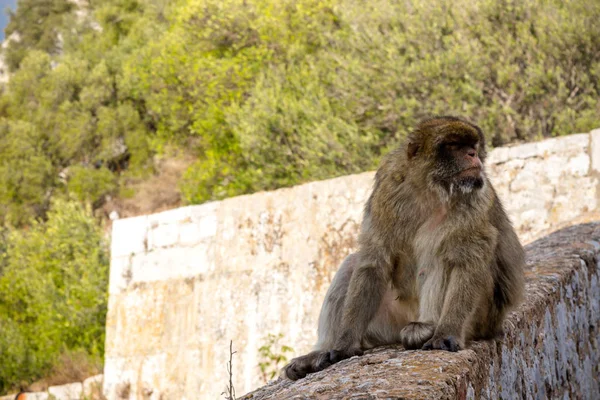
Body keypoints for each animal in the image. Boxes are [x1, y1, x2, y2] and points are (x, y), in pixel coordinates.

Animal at [284, 116, 524, 382]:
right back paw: (319, 352)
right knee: (353, 264)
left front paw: (447, 332)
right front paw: (344, 344)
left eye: (472, 145)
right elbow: (374, 260)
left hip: (480, 318)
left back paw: (426, 328)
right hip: (389, 321)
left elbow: (468, 259)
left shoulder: (474, 197)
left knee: (442, 257)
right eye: (454, 146)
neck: (429, 189)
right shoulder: (387, 189)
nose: (473, 154)